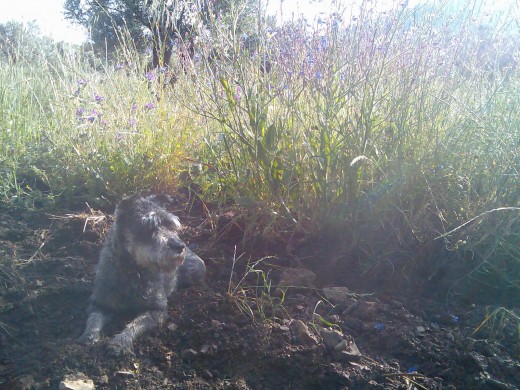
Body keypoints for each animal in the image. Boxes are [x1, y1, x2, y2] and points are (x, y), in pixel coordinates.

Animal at [78, 193, 206, 354]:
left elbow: (135, 324)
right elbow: (94, 319)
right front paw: (88, 337)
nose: (179, 246)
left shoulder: (157, 310)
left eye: (171, 225)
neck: (132, 271)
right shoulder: (100, 303)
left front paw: (120, 342)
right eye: (150, 226)